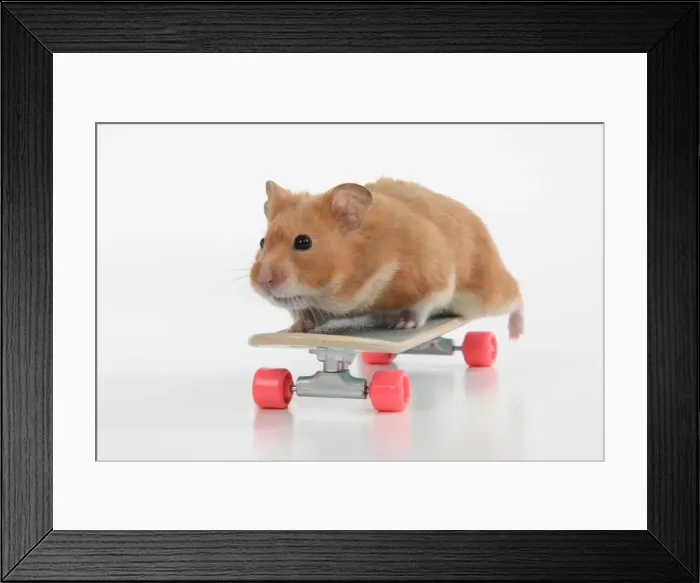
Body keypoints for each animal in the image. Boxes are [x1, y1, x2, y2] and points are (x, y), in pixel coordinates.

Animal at [249, 177, 524, 339]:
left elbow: (424, 306)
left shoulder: (436, 275)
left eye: (303, 242)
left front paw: (403, 324)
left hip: (487, 292)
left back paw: (515, 334)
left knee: (516, 297)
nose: (262, 281)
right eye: (262, 242)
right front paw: (295, 328)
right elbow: (305, 316)